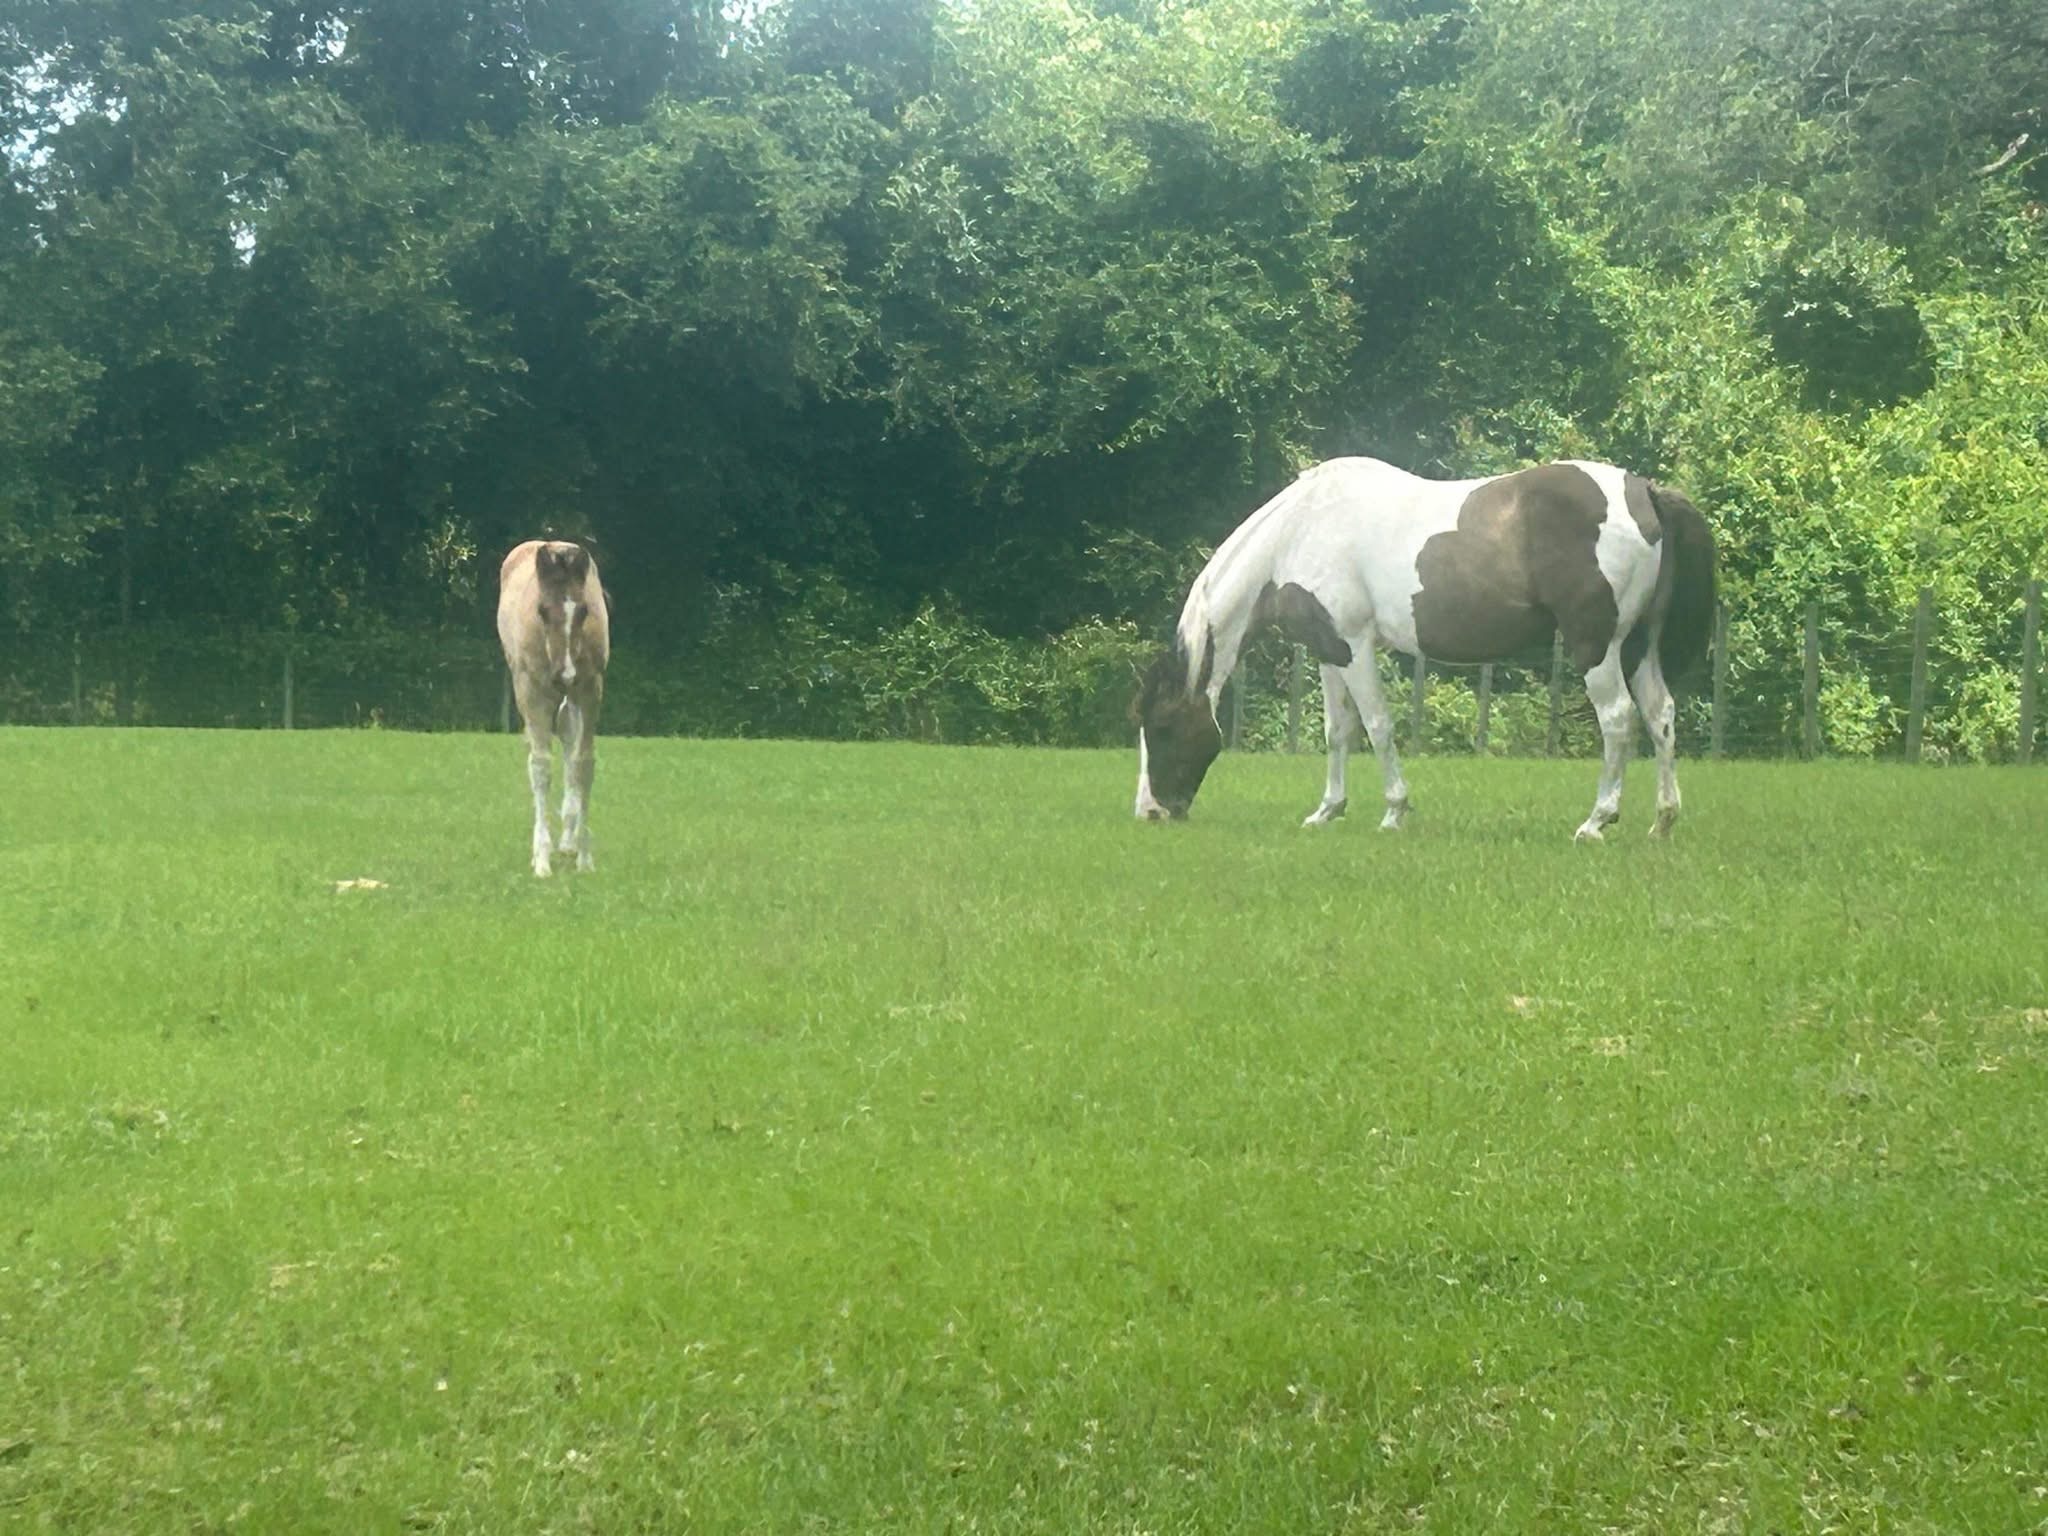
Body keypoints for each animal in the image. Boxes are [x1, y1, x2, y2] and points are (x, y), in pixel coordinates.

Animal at [497, 540, 611, 876]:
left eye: (584, 610)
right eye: (542, 611)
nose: (565, 675)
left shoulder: (589, 689)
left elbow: (583, 764)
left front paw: (584, 857)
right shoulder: (532, 691)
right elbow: (541, 767)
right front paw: (542, 860)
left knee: (570, 749)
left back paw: (568, 842)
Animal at [1134, 457, 1717, 840]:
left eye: (1161, 727)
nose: (1150, 812)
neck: (1300, 531)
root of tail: (1643, 492)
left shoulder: (1355, 644)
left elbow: (1377, 726)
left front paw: (1393, 812)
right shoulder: (1328, 649)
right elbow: (1337, 731)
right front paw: (1327, 811)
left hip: (1597, 647)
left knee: (1618, 720)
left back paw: (1597, 821)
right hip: (1636, 646)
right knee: (1661, 715)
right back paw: (1662, 821)